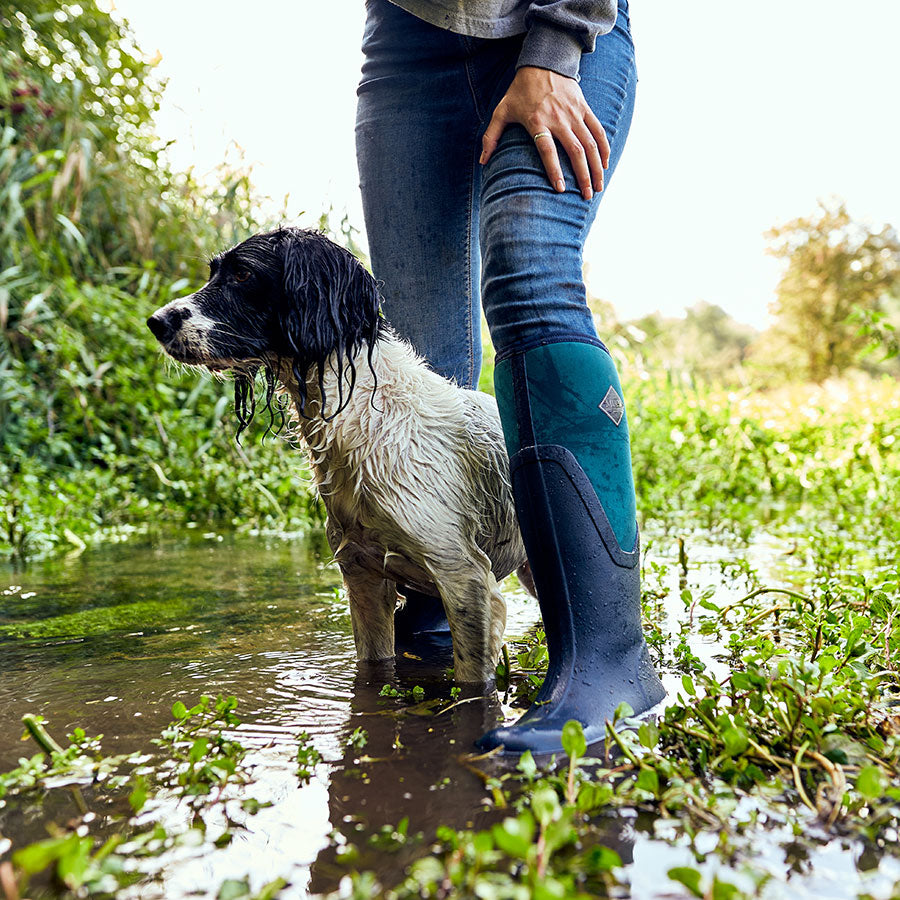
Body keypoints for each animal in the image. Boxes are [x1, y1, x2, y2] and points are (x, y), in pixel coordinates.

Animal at [146, 227, 536, 684]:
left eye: (243, 274)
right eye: (214, 273)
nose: (156, 321)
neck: (362, 419)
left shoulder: (464, 578)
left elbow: (473, 682)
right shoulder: (362, 576)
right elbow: (373, 667)